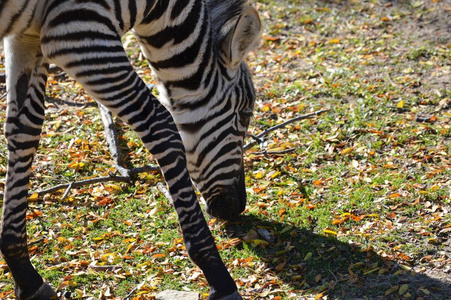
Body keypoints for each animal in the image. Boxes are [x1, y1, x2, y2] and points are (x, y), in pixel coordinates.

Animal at [0, 0, 262, 300]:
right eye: (244, 115)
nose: (238, 207)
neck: (161, 9)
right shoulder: (76, 30)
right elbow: (161, 125)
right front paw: (217, 274)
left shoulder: (27, 36)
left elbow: (25, 130)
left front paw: (24, 273)